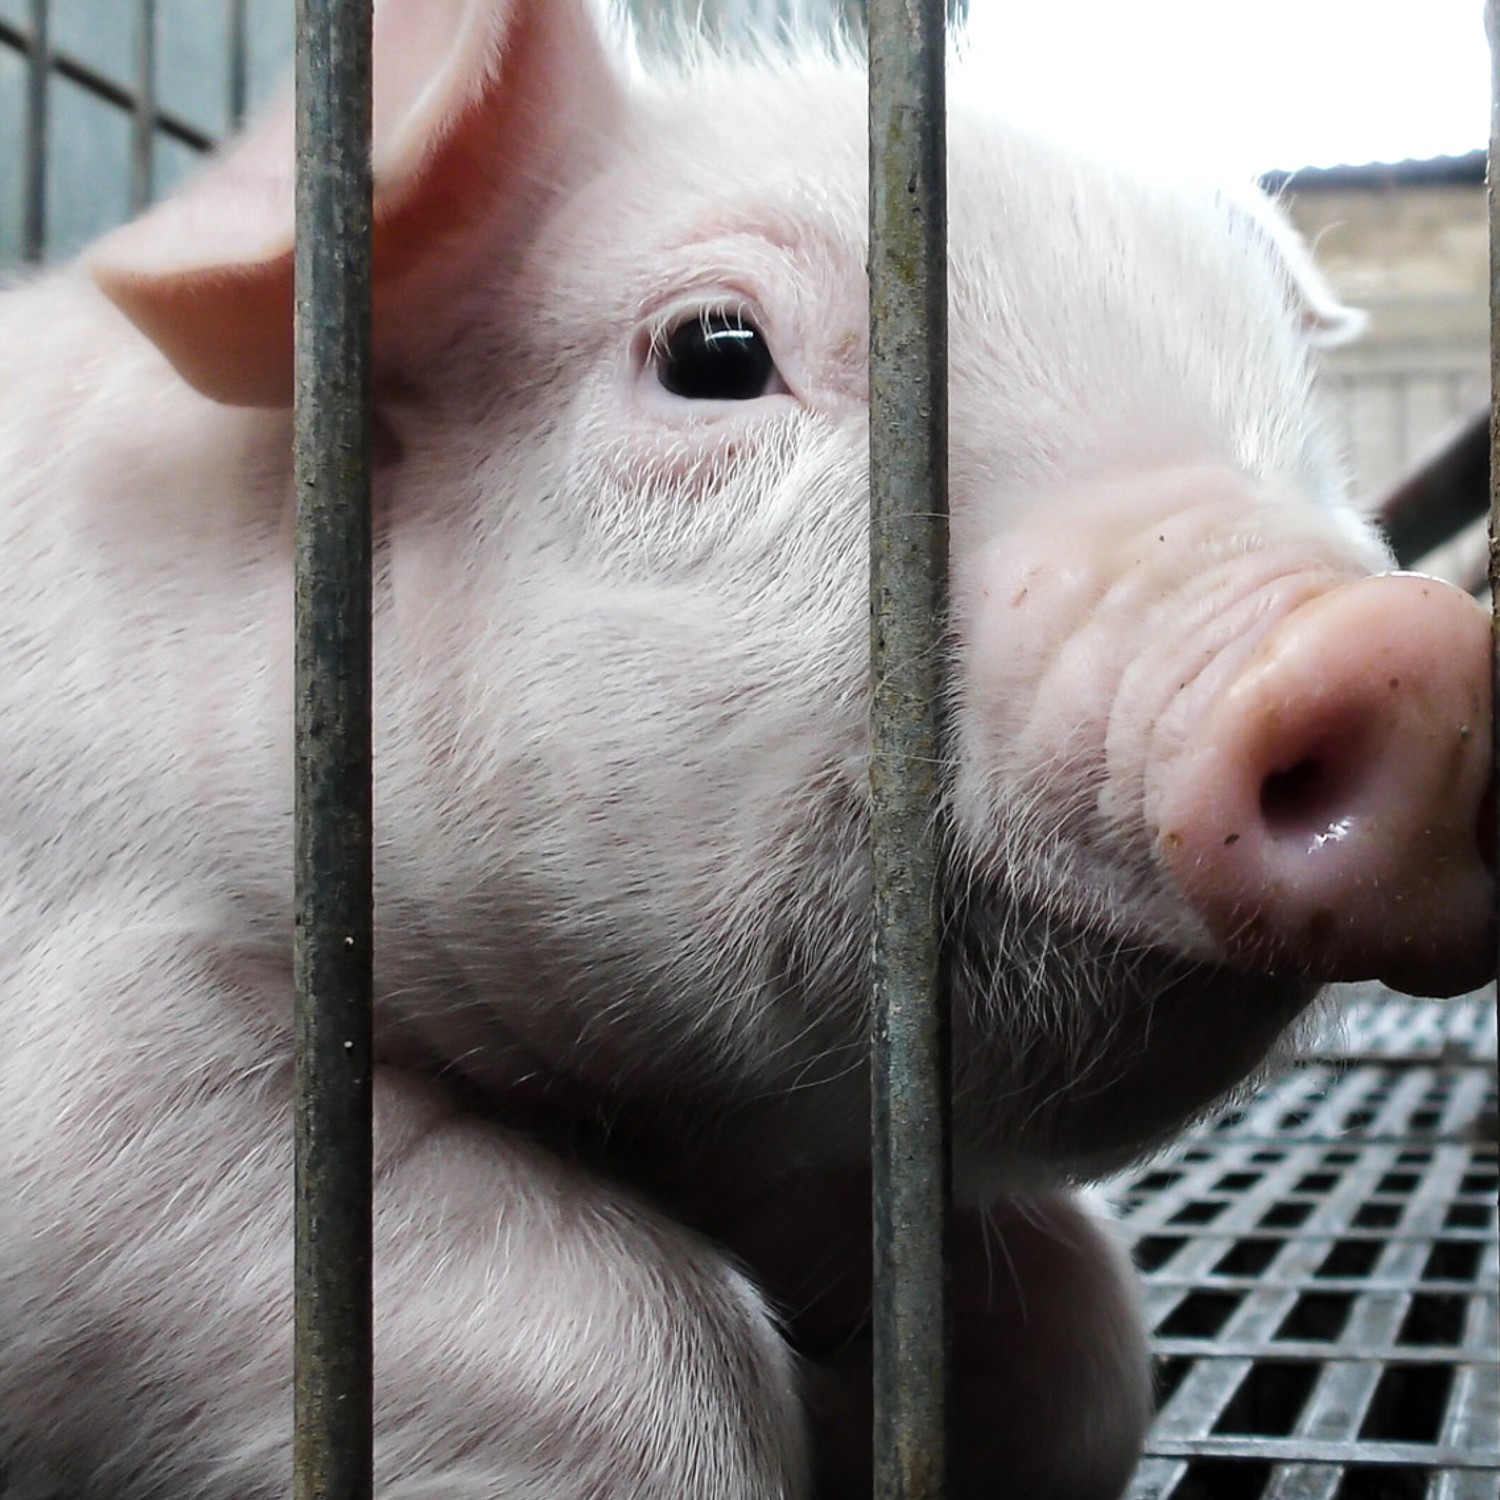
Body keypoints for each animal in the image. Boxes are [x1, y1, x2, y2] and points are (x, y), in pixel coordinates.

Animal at [0, 2, 1494, 1500]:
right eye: (713, 353)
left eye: (1300, 423)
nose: (1417, 647)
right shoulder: (98, 1042)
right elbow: (638, 1362)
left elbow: (1093, 1349)